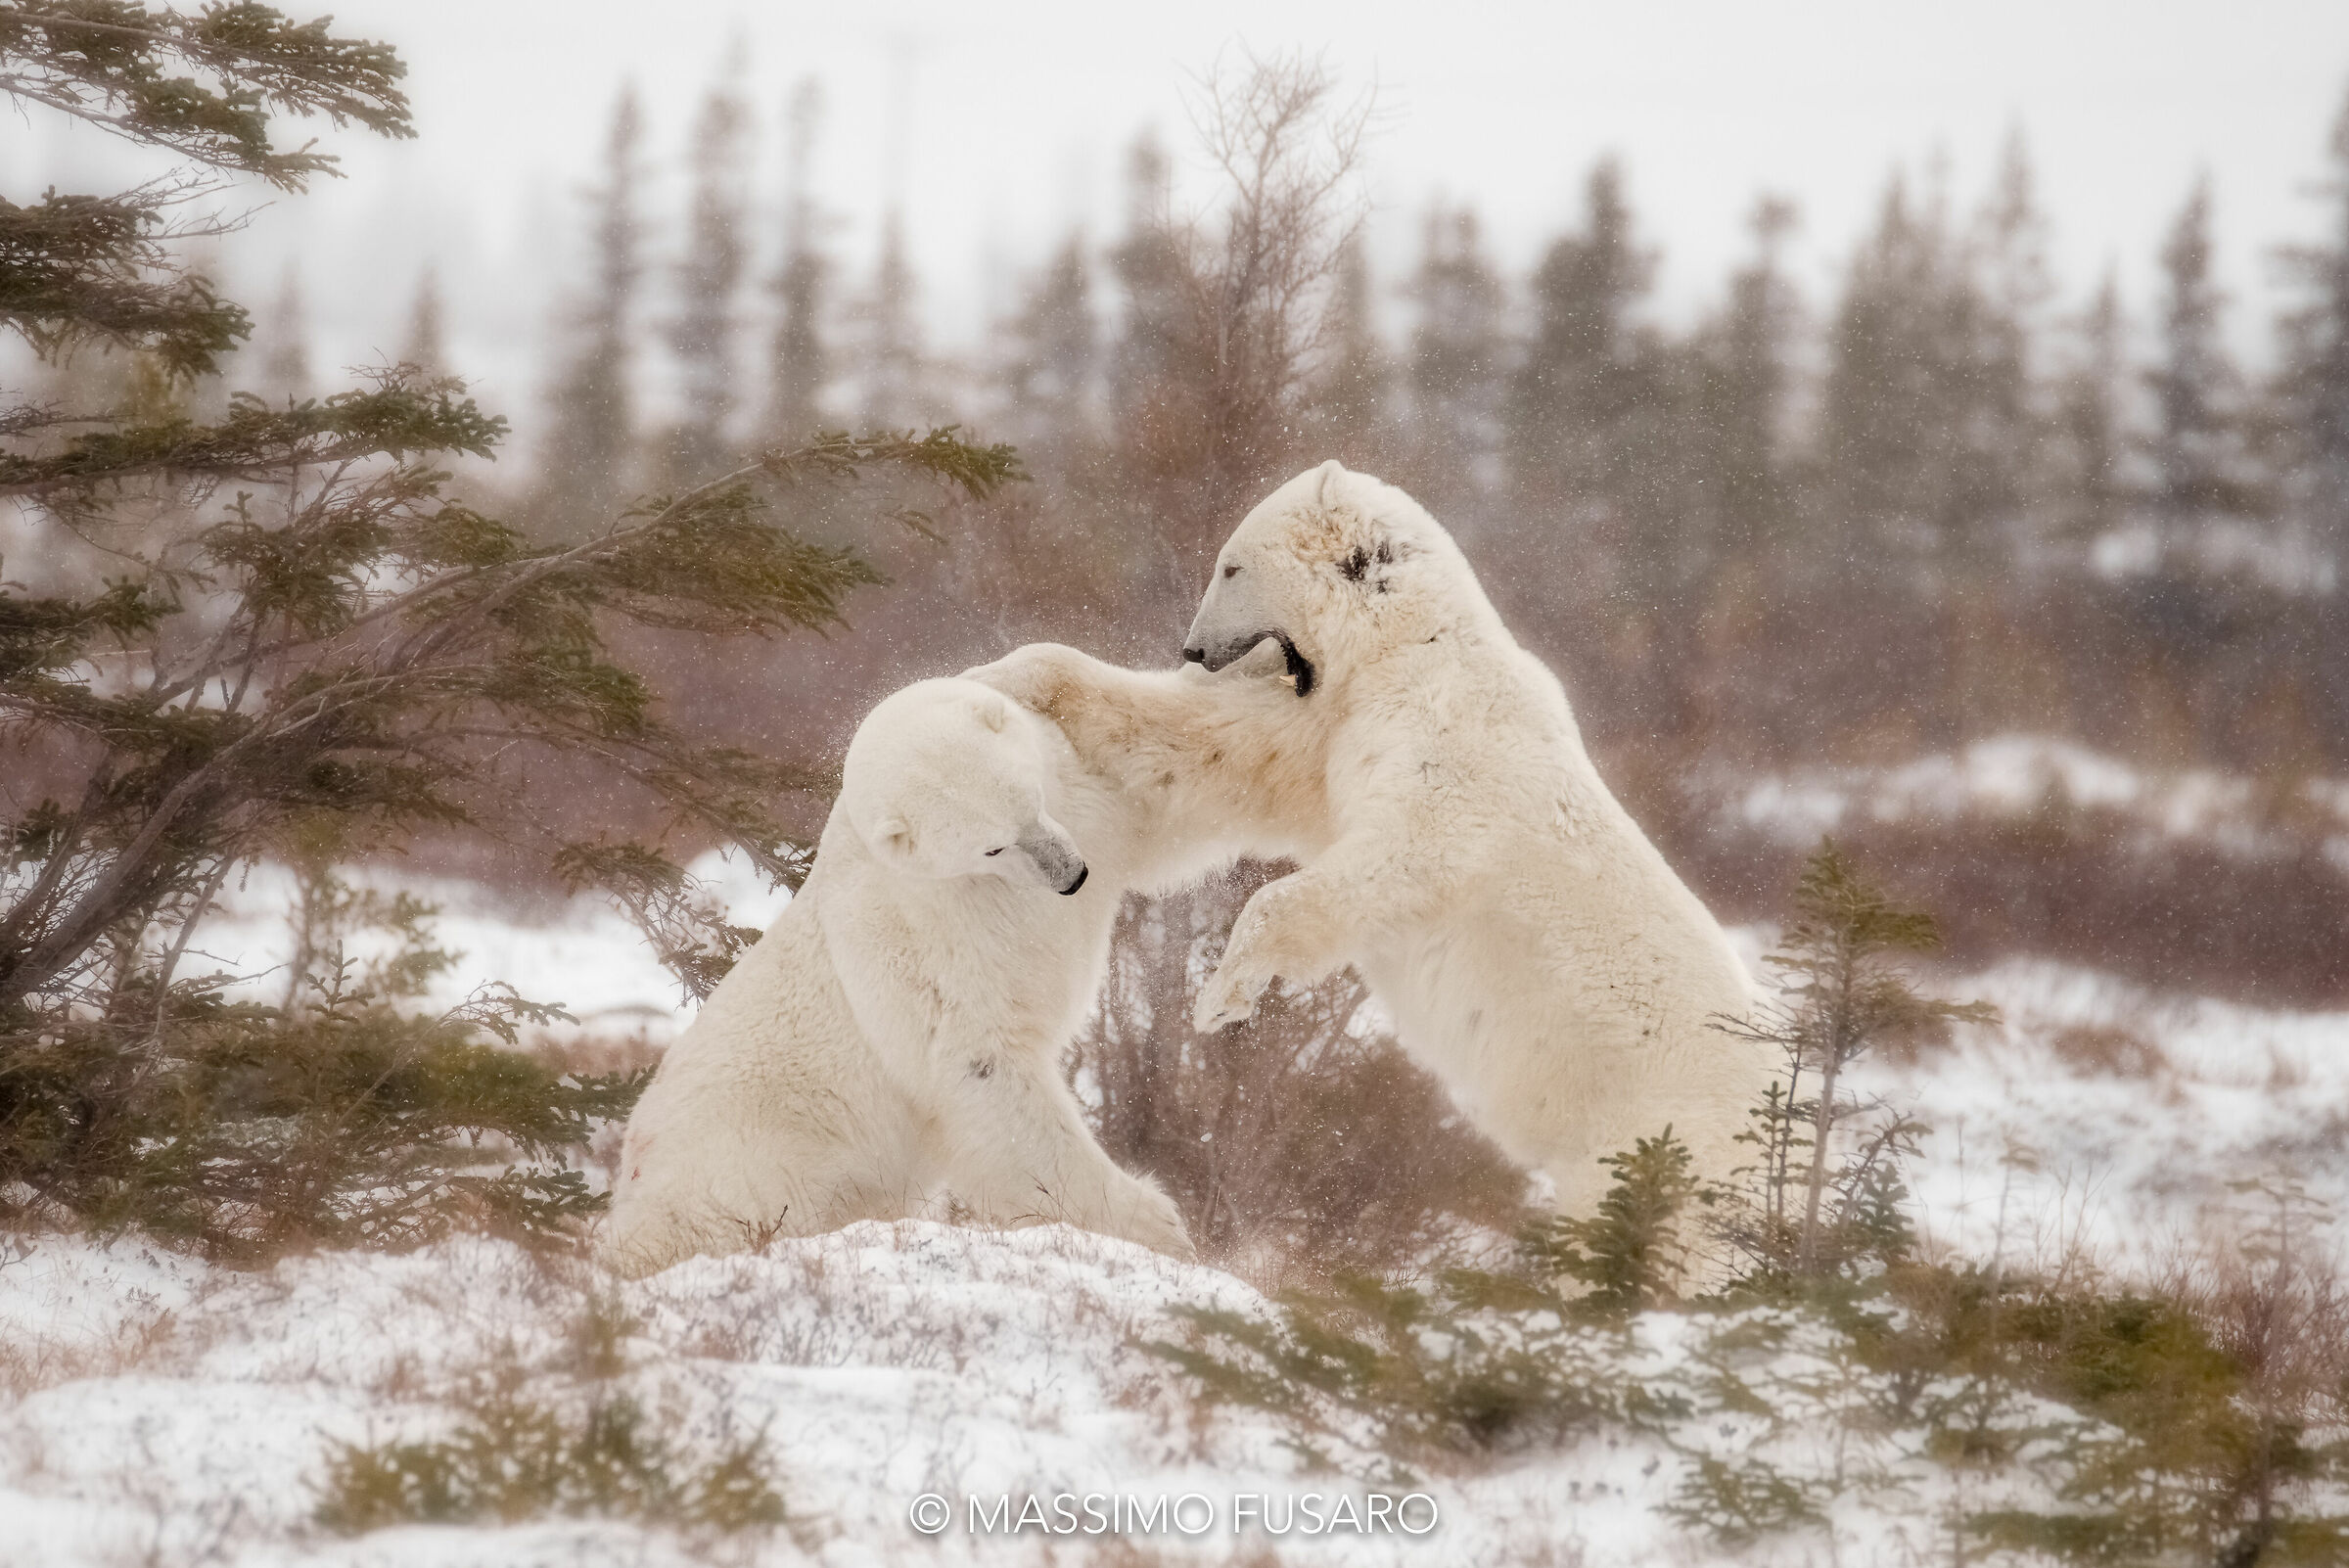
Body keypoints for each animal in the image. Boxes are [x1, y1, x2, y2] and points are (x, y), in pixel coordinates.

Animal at [600, 675, 1321, 1278]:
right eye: (991, 845)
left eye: (1029, 799)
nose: (1074, 877)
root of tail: (627, 1181)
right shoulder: (925, 941)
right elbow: (982, 1067)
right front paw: (1154, 1221)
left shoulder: (1086, 800)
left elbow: (1168, 791)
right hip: (751, 1158)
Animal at [965, 461, 1771, 1232]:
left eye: (1231, 567)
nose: (1193, 646)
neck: (1410, 648)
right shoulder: (1327, 724)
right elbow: (1207, 744)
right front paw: (993, 673)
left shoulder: (1448, 754)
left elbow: (1391, 860)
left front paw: (1221, 1000)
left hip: (1660, 1132)